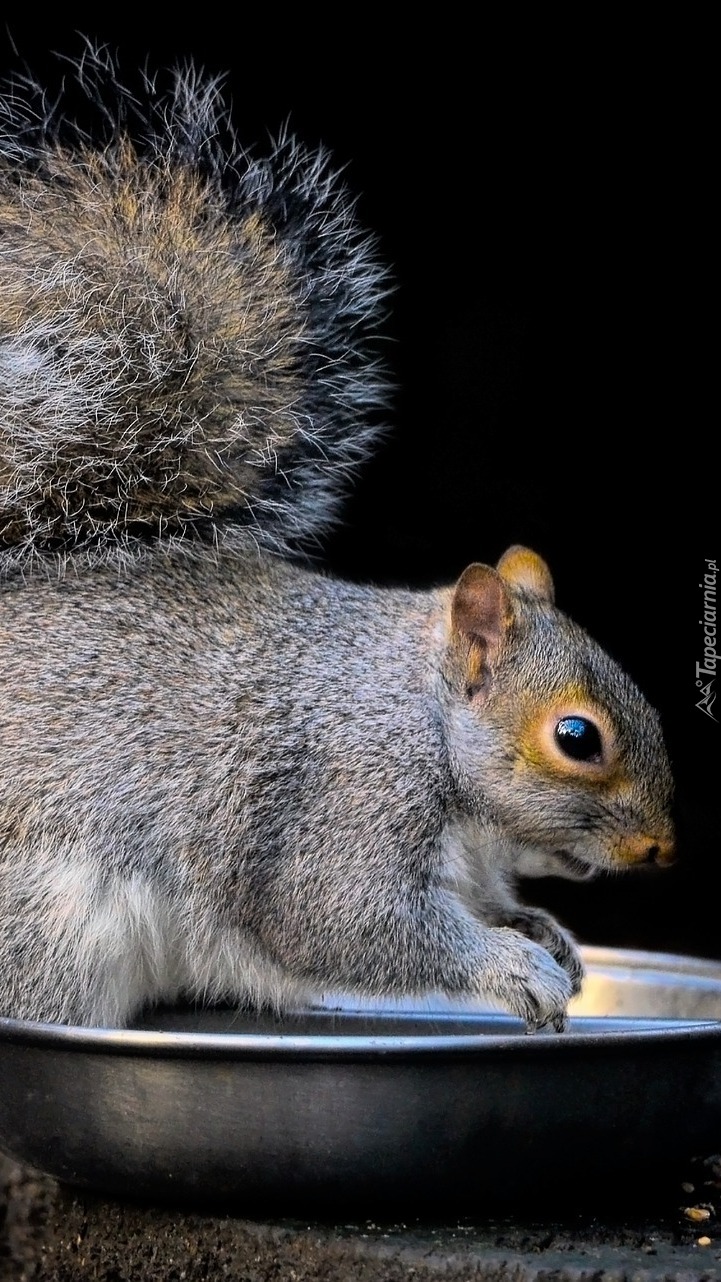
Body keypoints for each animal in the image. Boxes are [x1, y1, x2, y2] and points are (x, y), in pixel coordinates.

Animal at [0, 52, 672, 1030]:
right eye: (577, 737)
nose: (661, 847)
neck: (421, 709)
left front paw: (540, 932)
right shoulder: (344, 797)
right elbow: (347, 919)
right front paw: (512, 967)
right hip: (42, 929)